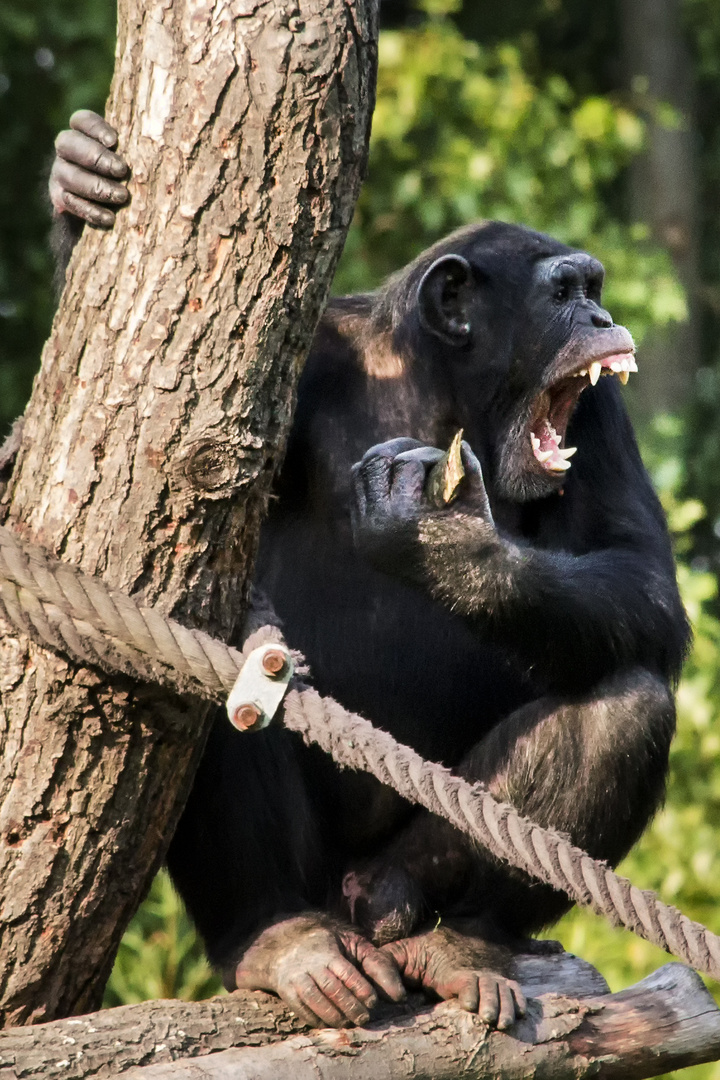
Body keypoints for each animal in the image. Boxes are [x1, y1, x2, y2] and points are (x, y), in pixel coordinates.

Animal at [47, 109, 690, 1028]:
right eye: (565, 291)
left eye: (591, 284)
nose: (602, 312)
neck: (440, 385)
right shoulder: (307, 357)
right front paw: (78, 185)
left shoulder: (597, 412)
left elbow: (641, 575)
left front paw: (447, 547)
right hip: (313, 877)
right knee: (220, 659)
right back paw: (281, 939)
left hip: (401, 876)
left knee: (625, 707)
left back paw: (461, 940)